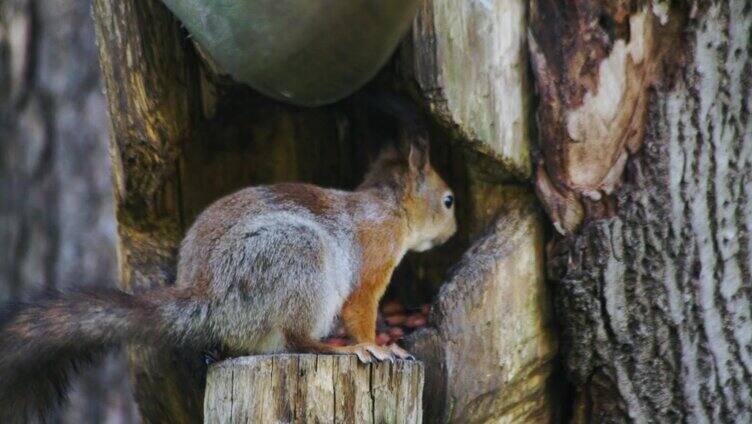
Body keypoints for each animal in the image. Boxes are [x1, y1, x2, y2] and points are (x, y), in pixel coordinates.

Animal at [0, 132, 456, 420]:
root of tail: (209, 302)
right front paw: (375, 345)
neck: (388, 207)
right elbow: (361, 310)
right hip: (296, 259)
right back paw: (338, 348)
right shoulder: (372, 262)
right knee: (296, 339)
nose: (452, 233)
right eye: (449, 200)